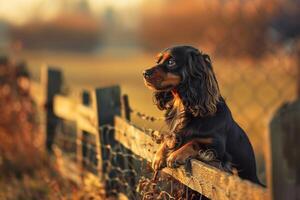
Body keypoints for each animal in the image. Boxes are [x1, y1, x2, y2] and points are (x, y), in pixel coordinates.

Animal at [143, 44, 262, 185]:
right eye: (158, 61)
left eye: (171, 62)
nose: (144, 73)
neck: (184, 106)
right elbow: (168, 139)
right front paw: (159, 156)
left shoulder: (217, 147)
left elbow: (194, 142)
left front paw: (175, 155)